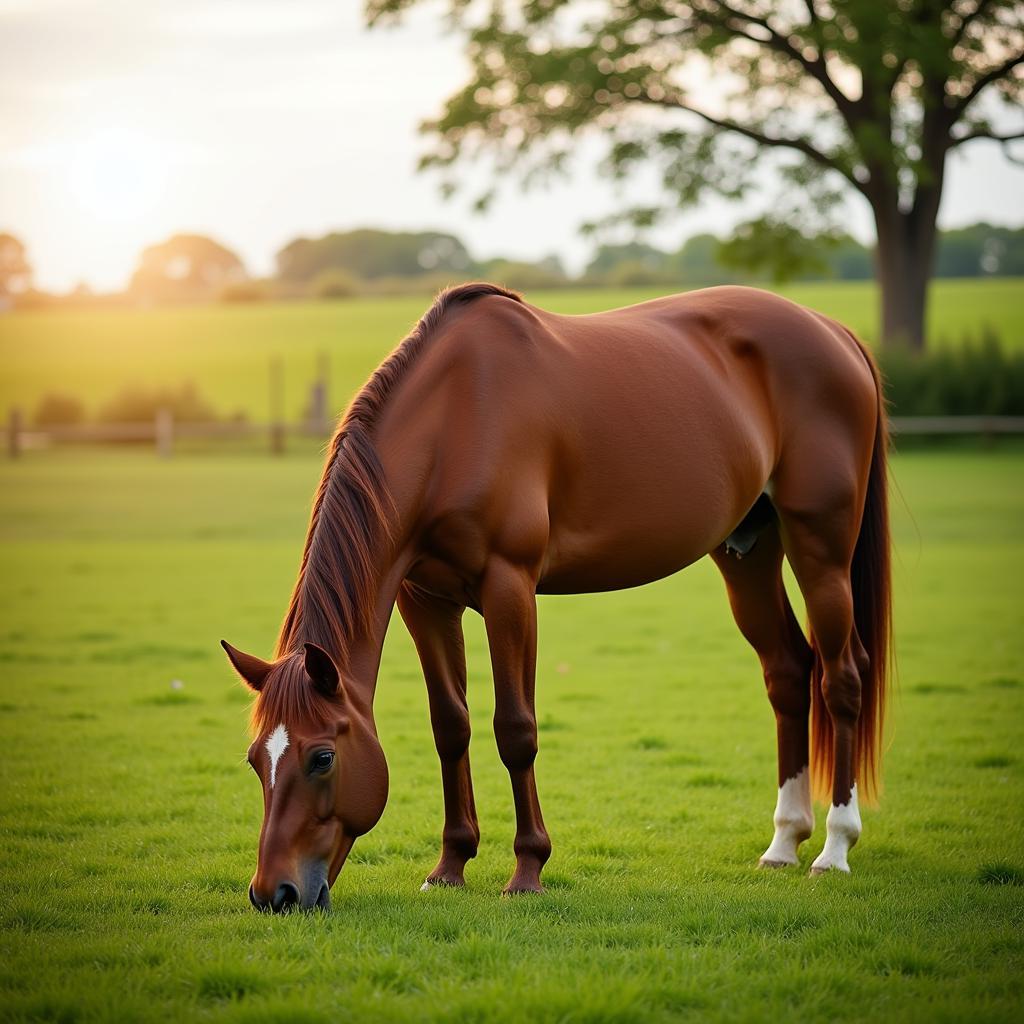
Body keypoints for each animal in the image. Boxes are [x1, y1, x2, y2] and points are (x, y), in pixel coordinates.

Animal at [222, 282, 888, 913]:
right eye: (256, 760)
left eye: (322, 758)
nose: (274, 894)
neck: (456, 417)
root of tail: (834, 332)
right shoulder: (425, 599)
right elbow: (450, 726)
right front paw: (450, 866)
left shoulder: (510, 587)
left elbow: (515, 729)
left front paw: (527, 870)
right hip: (747, 552)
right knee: (788, 672)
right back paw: (784, 841)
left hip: (821, 549)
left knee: (842, 678)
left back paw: (834, 846)